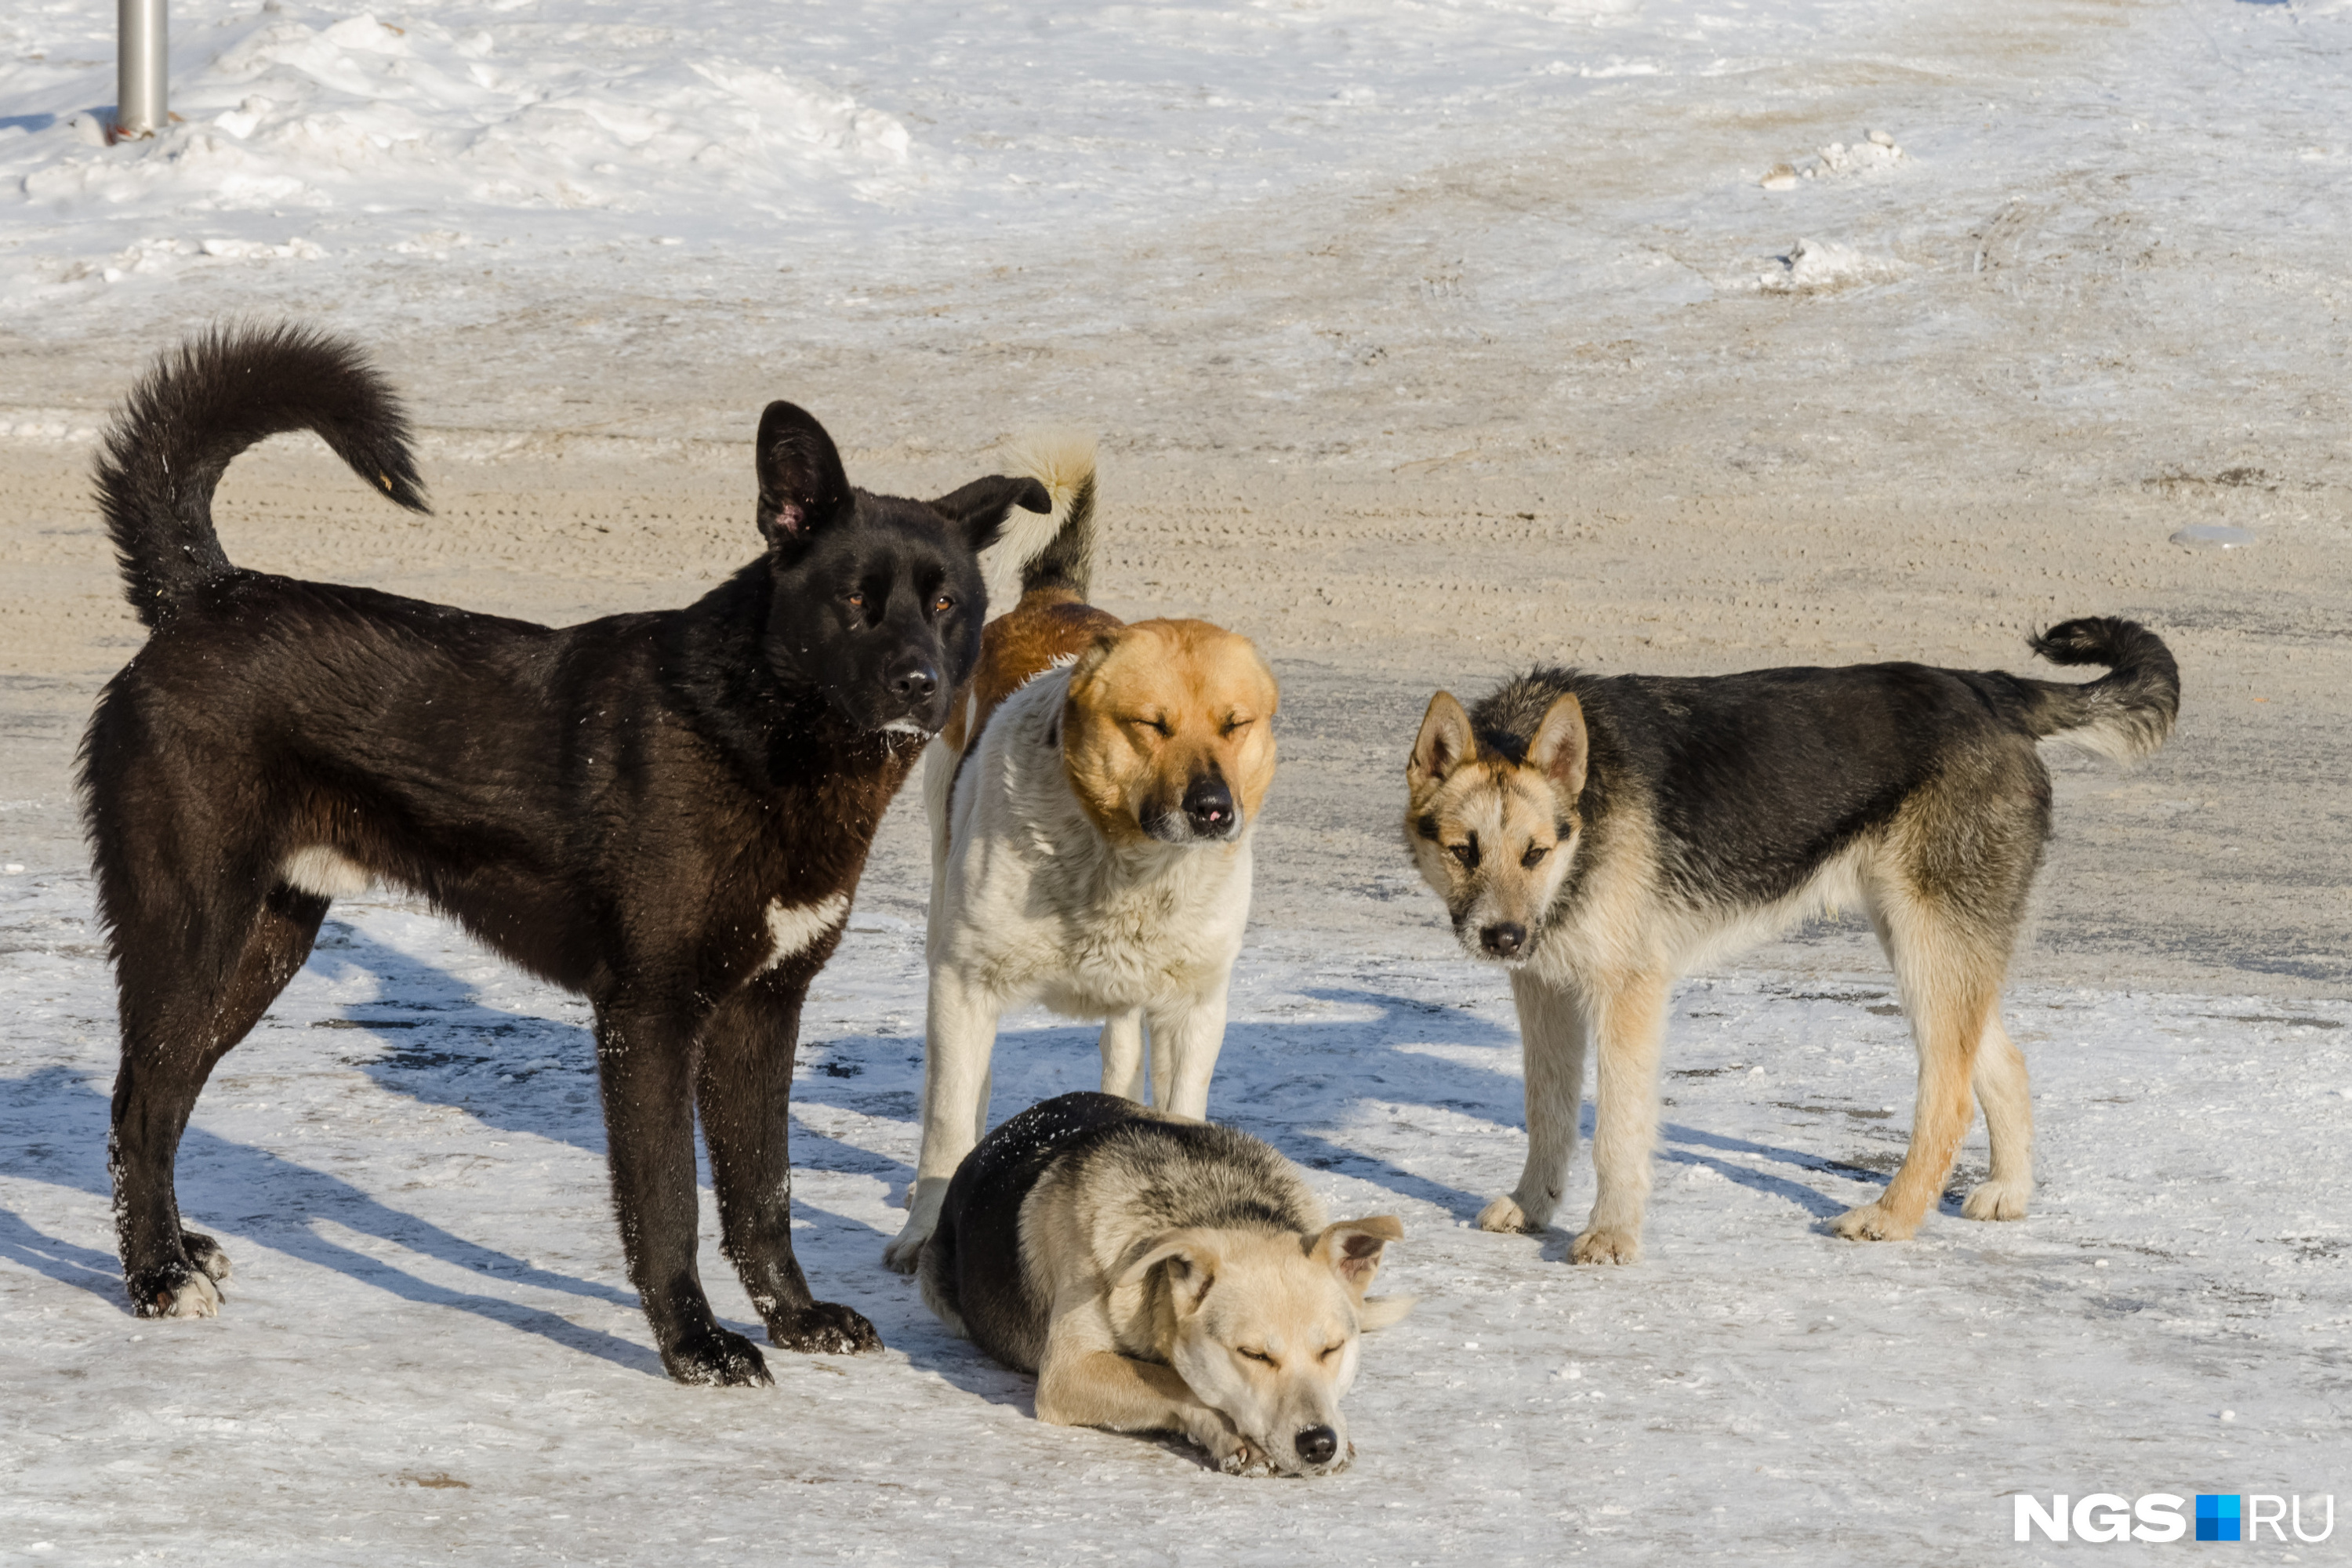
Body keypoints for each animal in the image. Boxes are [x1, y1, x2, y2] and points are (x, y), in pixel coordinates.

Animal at [85, 324, 1049, 1382]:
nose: (921, 684)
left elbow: (765, 1195)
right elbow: (669, 1202)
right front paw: (697, 1345)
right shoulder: (650, 1015)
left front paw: (795, 1319)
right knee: (139, 1105)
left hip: (260, 949)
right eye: (854, 600)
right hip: (193, 933)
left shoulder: (763, 1010)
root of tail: (204, 595)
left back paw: (181, 1249)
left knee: (160, 1102)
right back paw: (156, 1277)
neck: (762, 732)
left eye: (947, 603)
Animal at [884, 444, 1289, 1279]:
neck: (1123, 864)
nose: (1213, 809)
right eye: (1151, 725)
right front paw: (924, 1232)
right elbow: (946, 1123)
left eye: (1235, 724)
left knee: (1119, 1050)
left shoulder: (1194, 1006)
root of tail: (1054, 597)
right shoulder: (965, 985)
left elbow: (1177, 1109)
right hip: (945, 907)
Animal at [917, 1091, 1402, 1476]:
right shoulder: (1068, 1372)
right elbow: (1173, 1381)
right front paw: (1227, 1434)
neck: (1219, 1206)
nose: (1319, 1443)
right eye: (1253, 1355)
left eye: (1332, 1349)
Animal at [1392, 620, 2183, 1260]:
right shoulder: (1545, 991)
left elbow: (1616, 1132)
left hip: (1927, 951)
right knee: (2001, 1065)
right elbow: (1548, 1113)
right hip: (1930, 951)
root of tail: (1987, 690)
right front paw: (1533, 1207)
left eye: (1534, 853)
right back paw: (2007, 1193)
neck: (1583, 826)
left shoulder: (1627, 997)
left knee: (1949, 1099)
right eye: (1464, 851)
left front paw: (1611, 1235)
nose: (1502, 937)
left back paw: (1894, 1217)